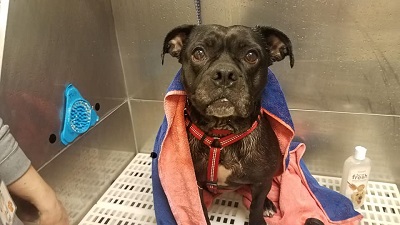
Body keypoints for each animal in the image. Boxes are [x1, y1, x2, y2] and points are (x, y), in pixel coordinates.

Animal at [162, 24, 294, 225]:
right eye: (199, 53)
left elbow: (255, 206)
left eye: (251, 55)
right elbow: (200, 211)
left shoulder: (262, 181)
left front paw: (259, 212)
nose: (225, 74)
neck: (221, 131)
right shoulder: (195, 186)